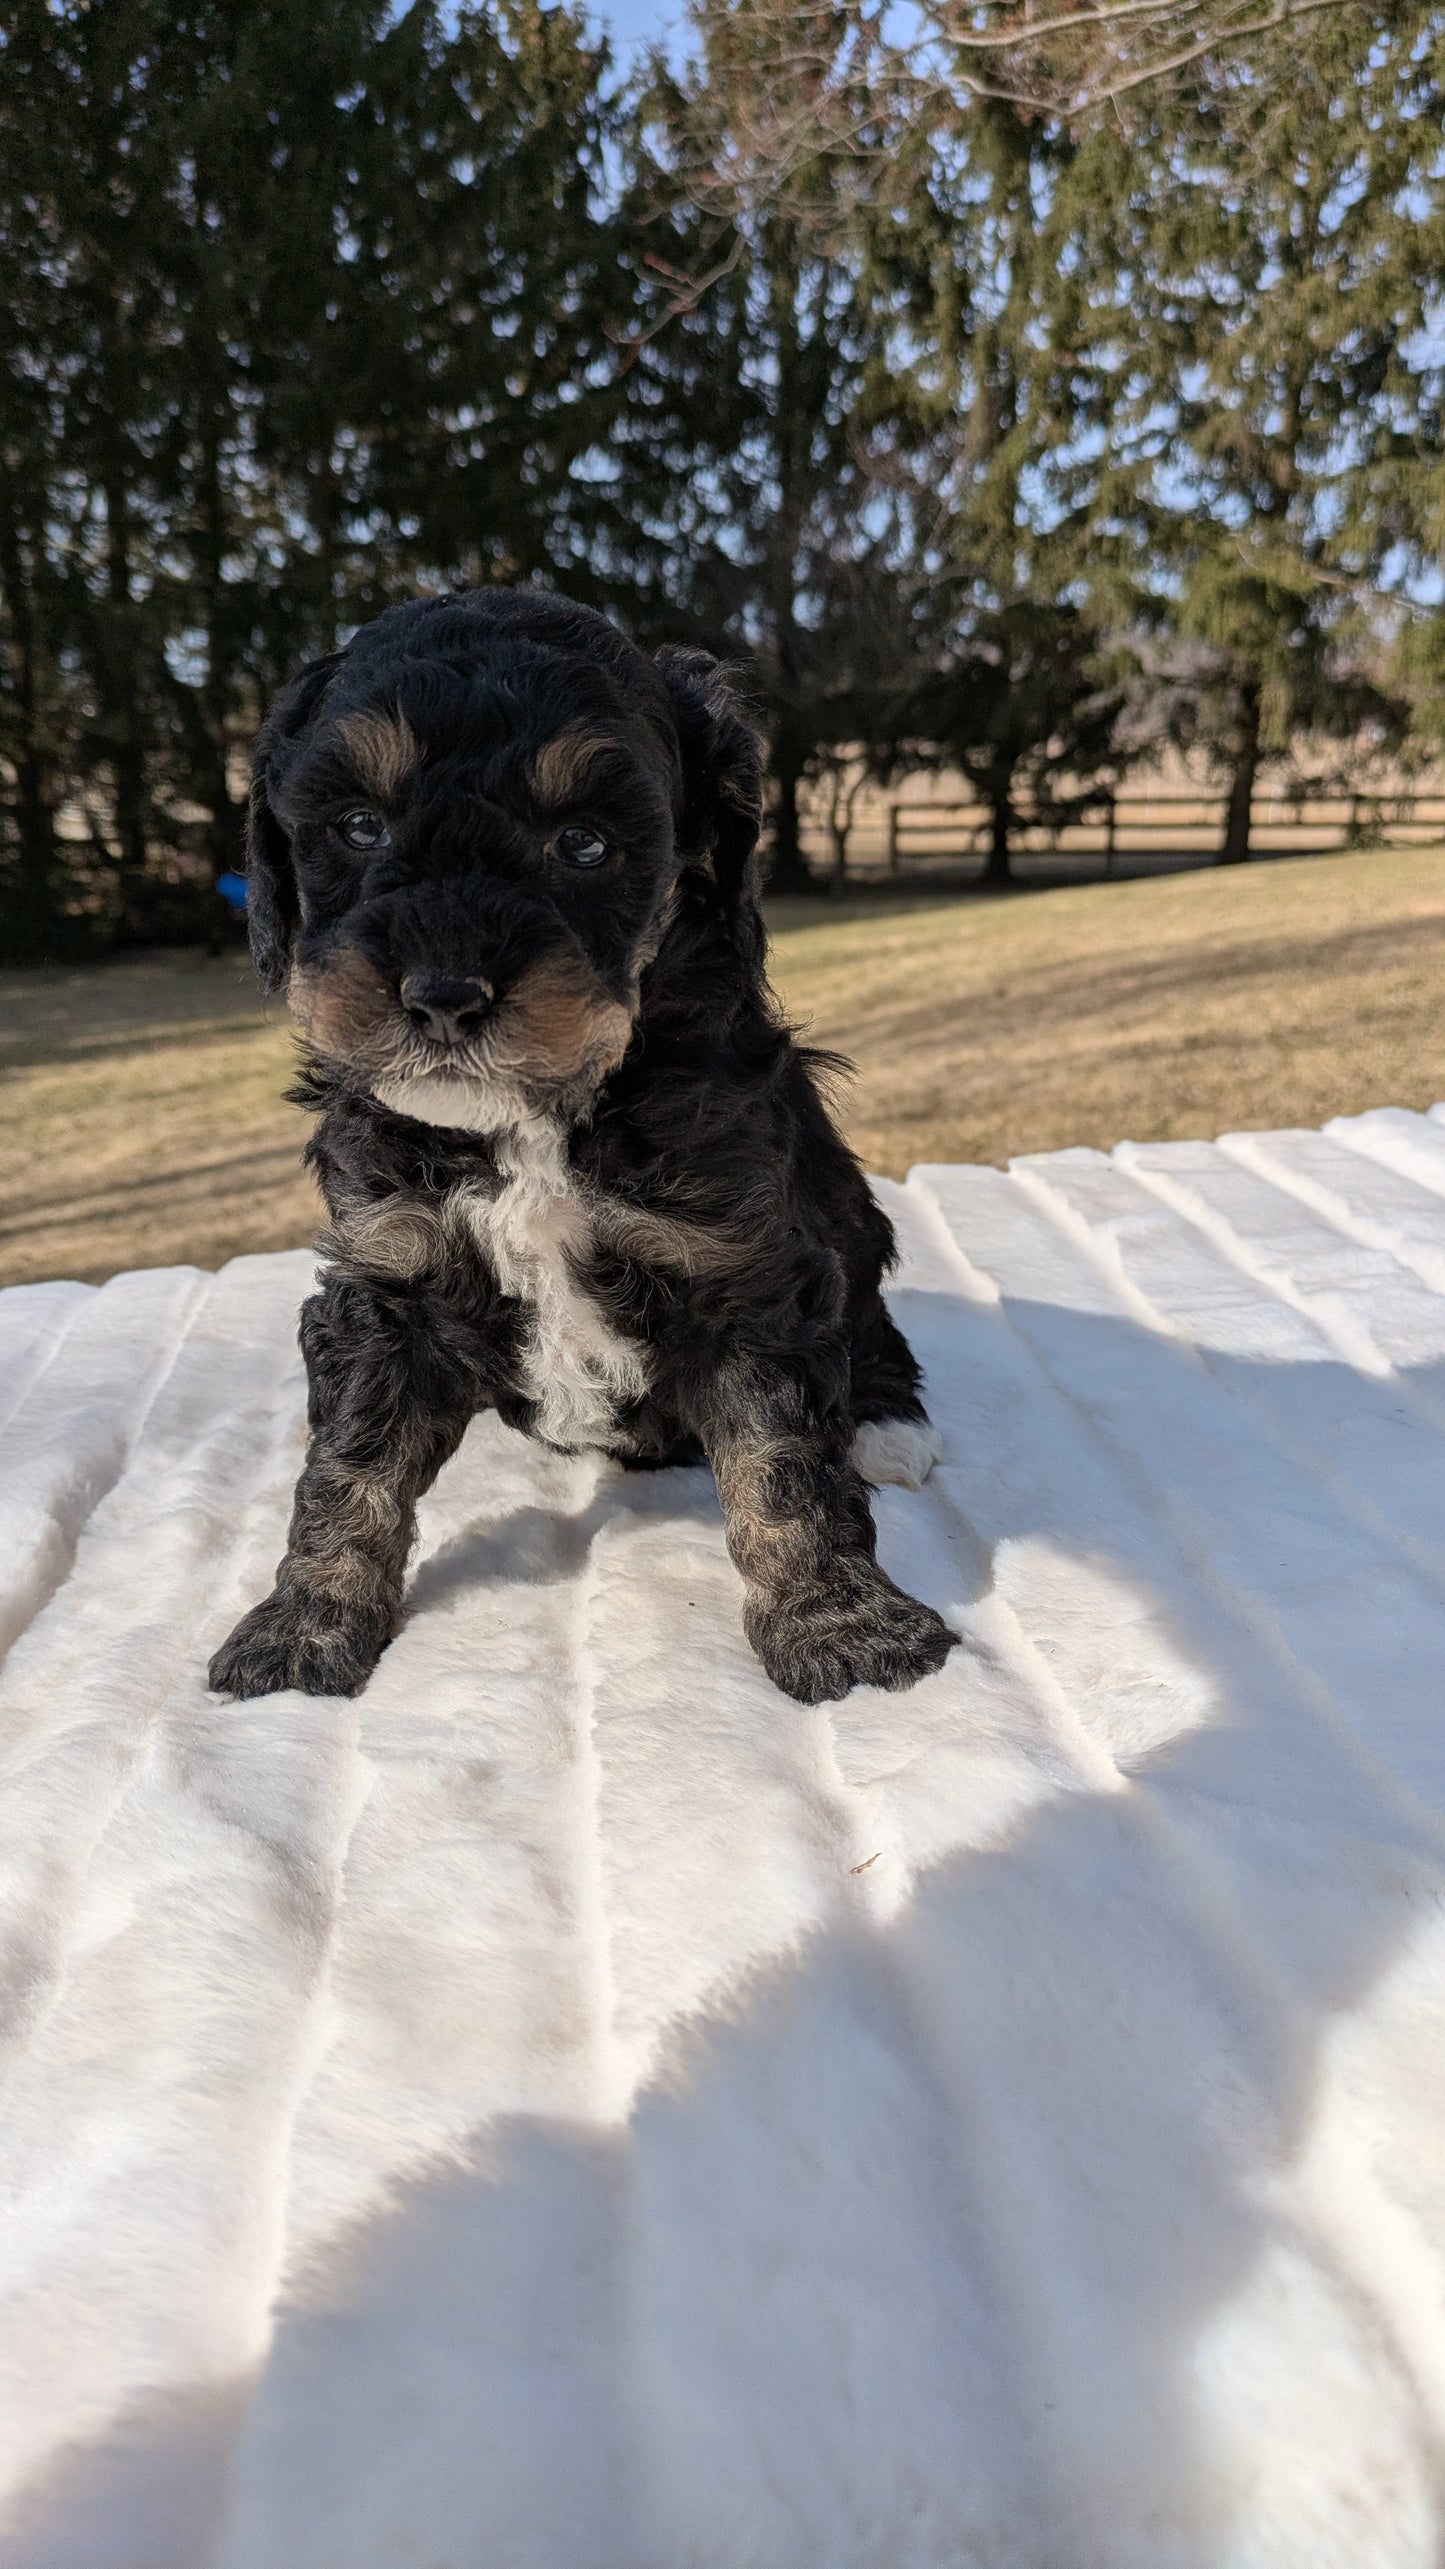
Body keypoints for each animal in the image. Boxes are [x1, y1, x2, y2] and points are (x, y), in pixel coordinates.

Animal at [208, 585, 951, 1705]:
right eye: (358, 825)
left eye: (586, 844)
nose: (443, 994)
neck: (527, 1122)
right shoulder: (387, 1270)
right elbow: (350, 1464)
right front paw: (303, 1626)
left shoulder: (743, 1271)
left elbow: (782, 1462)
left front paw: (842, 1627)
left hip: (850, 1226)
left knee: (872, 1331)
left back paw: (889, 1426)